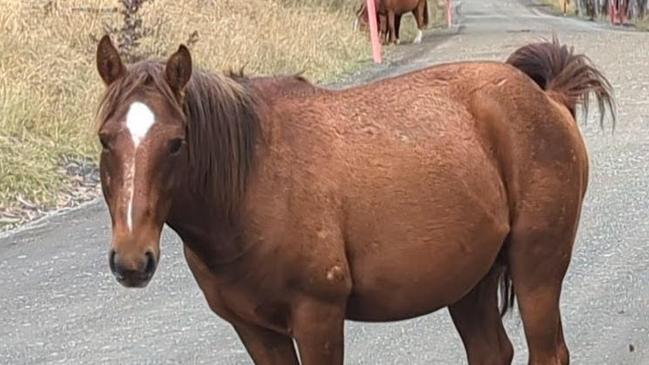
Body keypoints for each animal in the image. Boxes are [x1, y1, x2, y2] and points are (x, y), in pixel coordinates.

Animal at [92, 34, 612, 364]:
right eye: (104, 139)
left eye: (176, 143)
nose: (132, 261)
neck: (254, 183)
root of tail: (548, 98)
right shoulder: (255, 331)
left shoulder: (318, 317)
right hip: (469, 281)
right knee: (491, 353)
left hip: (536, 269)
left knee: (549, 352)